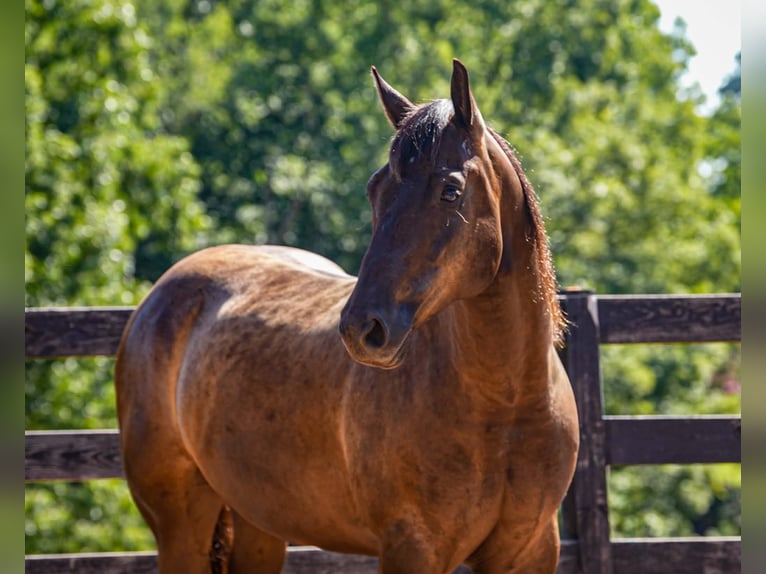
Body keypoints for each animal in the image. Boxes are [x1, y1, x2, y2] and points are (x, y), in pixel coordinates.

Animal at [115, 59, 579, 574]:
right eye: (376, 189)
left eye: (450, 190)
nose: (362, 329)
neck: (506, 406)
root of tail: (157, 299)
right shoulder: (411, 548)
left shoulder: (530, 551)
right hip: (180, 525)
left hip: (258, 524)